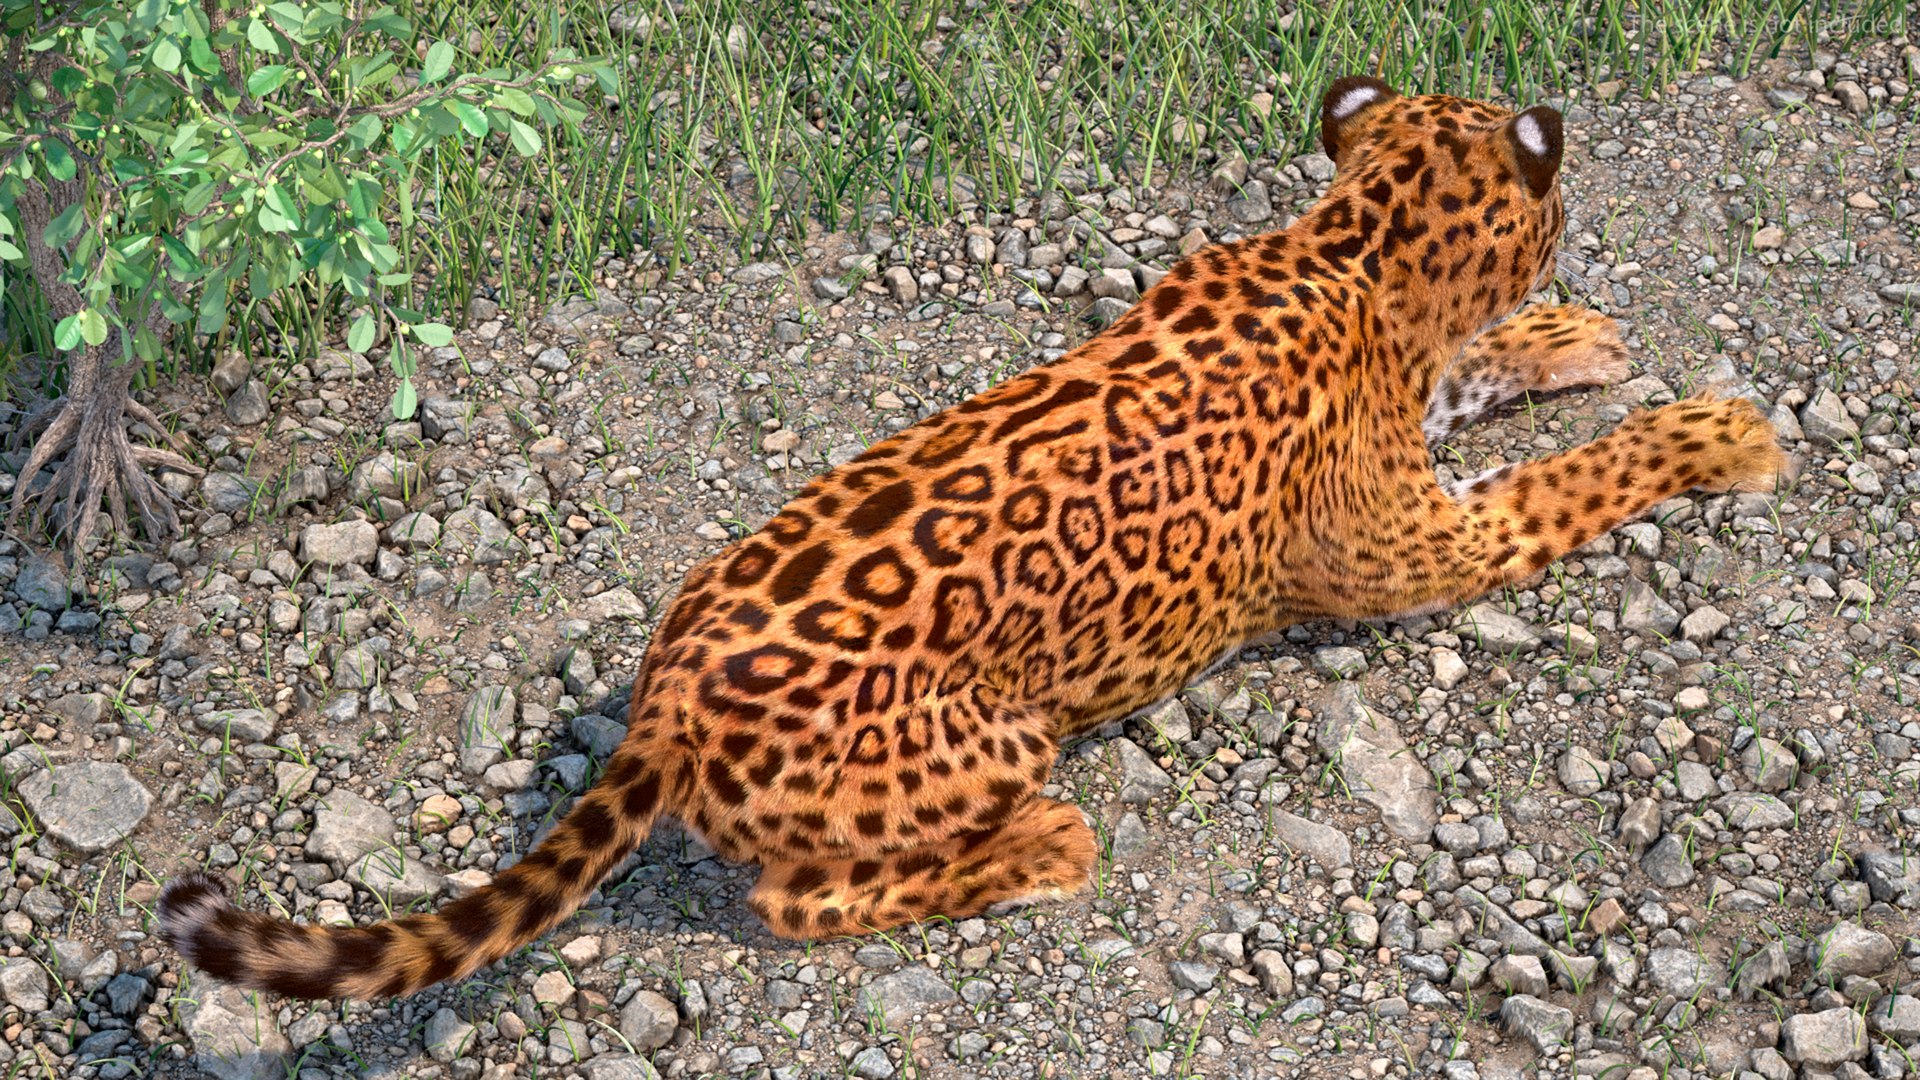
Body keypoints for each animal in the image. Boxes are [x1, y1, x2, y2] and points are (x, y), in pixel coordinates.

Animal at [158, 76, 1784, 1001]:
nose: (1575, 250)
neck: (1352, 250)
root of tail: (667, 705)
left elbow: (1489, 378)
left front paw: (1573, 338)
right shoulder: (1422, 549)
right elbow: (1578, 480)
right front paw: (1717, 431)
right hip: (996, 732)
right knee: (798, 899)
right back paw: (1044, 846)